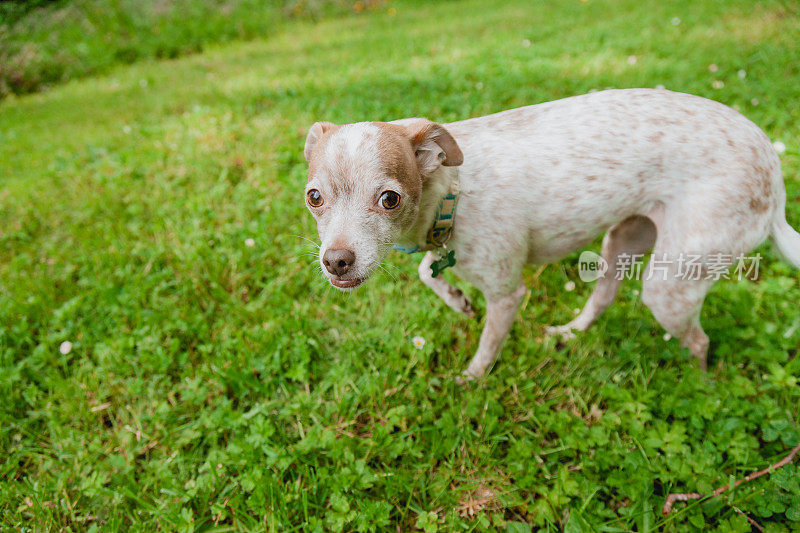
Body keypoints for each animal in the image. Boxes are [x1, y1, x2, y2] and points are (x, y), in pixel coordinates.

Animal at [302, 88, 800, 378]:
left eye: (389, 198)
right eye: (314, 197)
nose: (336, 261)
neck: (453, 192)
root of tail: (774, 172)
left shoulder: (507, 296)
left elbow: (486, 349)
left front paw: (469, 382)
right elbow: (430, 271)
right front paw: (458, 301)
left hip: (670, 285)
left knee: (700, 341)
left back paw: (697, 383)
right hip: (623, 241)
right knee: (602, 297)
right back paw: (570, 332)